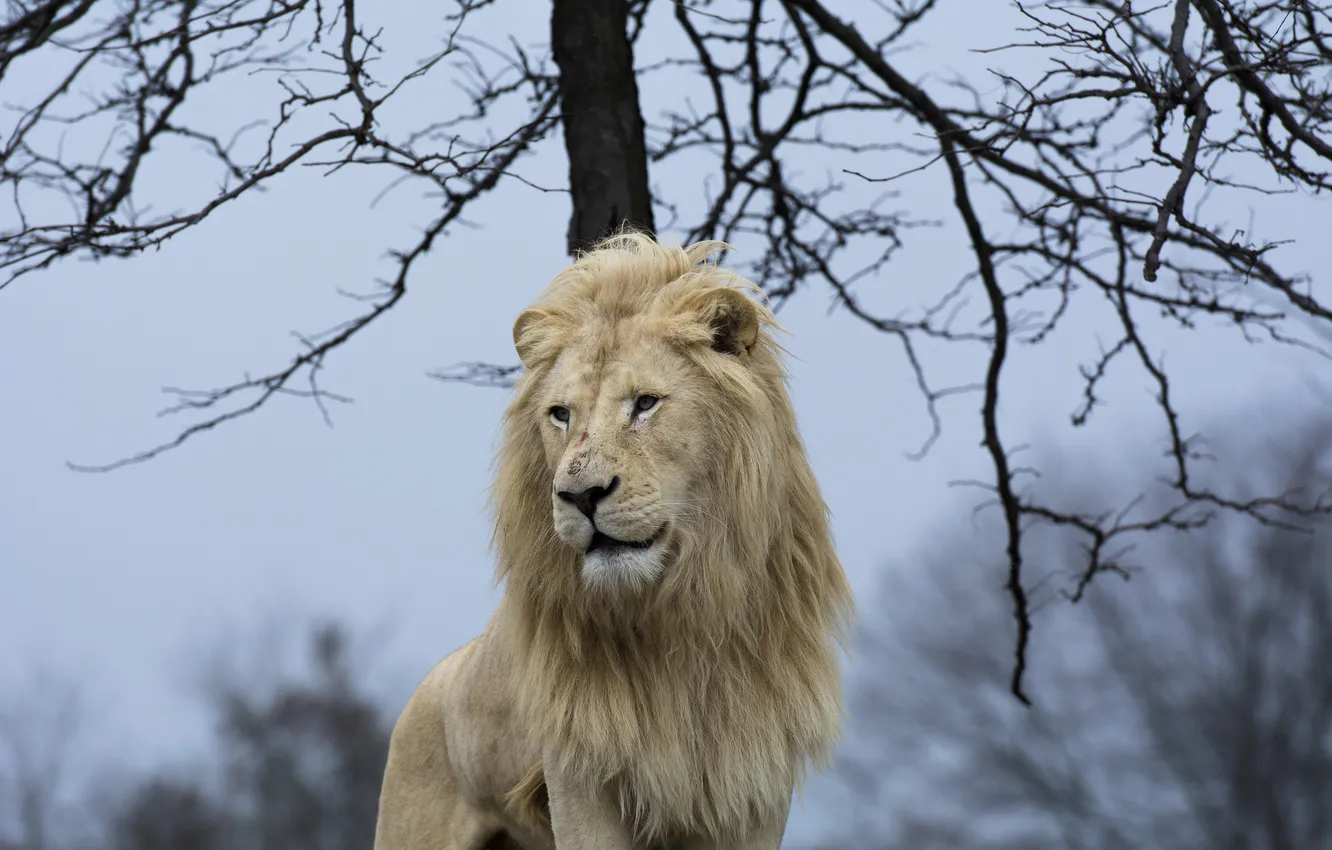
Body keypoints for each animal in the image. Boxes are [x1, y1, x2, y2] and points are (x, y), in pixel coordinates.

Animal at [373, 233, 854, 850]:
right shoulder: (582, 775)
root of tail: (432, 681)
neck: (684, 614)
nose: (580, 495)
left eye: (645, 403)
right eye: (560, 414)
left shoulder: (750, 783)